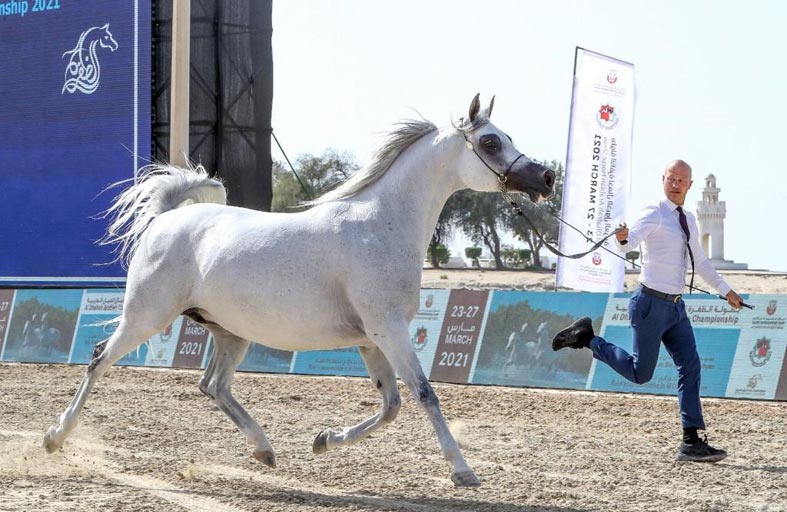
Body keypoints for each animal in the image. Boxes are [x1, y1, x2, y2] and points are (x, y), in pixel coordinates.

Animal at [46, 95, 556, 488]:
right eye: (490, 142)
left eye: (507, 136)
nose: (546, 178)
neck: (382, 225)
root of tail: (166, 217)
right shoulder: (388, 329)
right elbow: (425, 395)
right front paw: (463, 471)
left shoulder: (371, 338)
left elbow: (391, 405)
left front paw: (324, 440)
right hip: (145, 317)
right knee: (99, 359)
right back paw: (56, 436)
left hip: (230, 332)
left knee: (213, 385)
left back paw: (265, 451)